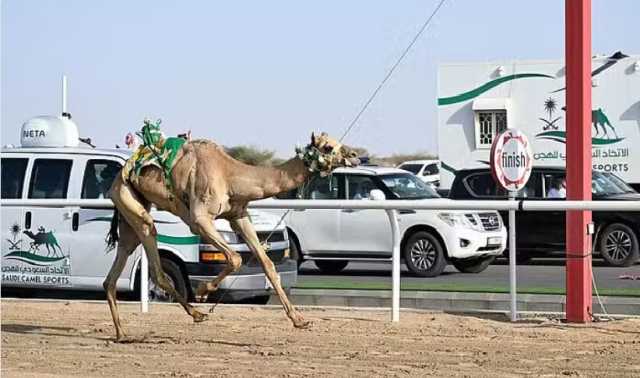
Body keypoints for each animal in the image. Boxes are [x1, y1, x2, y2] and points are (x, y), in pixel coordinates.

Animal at [105, 122, 360, 342]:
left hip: (129, 215)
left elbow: (268, 264)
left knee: (114, 271)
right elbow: (236, 258)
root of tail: (120, 175)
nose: (355, 155)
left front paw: (300, 320)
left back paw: (121, 333)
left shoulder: (239, 216)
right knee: (154, 252)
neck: (230, 176)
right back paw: (197, 313)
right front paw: (203, 291)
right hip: (131, 202)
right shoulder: (199, 219)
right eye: (328, 147)